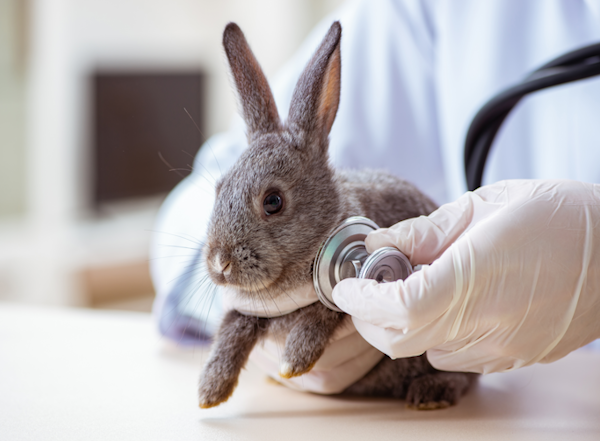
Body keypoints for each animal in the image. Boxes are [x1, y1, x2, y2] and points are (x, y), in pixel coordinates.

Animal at [199, 21, 476, 410]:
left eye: (273, 201)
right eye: (218, 188)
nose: (219, 262)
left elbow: (328, 310)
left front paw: (294, 360)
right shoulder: (248, 311)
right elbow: (232, 328)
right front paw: (210, 390)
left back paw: (431, 392)